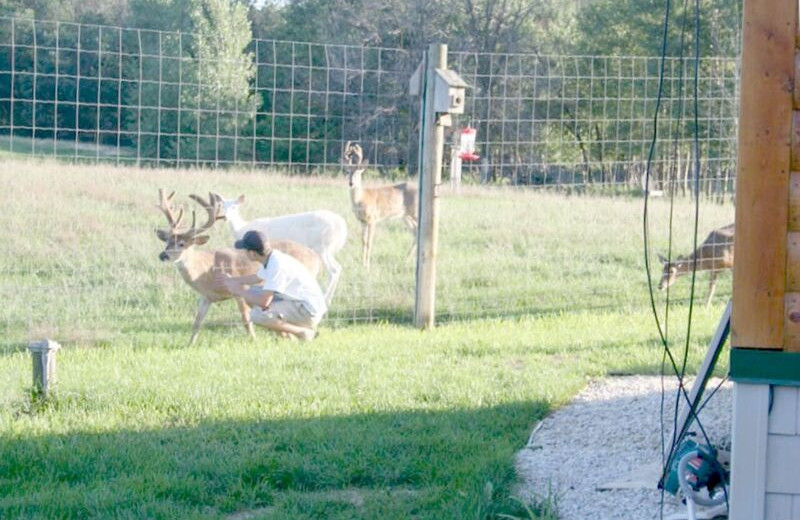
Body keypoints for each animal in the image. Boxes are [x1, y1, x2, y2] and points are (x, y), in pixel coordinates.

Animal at [155, 190, 320, 346]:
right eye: (167, 241)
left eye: (181, 244)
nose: (162, 255)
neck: (207, 271)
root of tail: (316, 257)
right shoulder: (206, 297)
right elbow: (197, 322)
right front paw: (189, 345)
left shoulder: (239, 291)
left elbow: (246, 319)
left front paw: (254, 341)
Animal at [211, 192, 346, 304]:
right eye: (223, 206)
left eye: (234, 207)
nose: (225, 217)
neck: (241, 229)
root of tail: (342, 227)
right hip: (326, 249)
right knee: (338, 267)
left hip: (322, 246)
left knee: (334, 270)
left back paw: (325, 299)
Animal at [342, 140, 418, 270]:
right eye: (348, 171)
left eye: (358, 172)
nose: (351, 183)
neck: (362, 199)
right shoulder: (362, 221)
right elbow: (363, 242)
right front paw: (362, 264)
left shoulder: (372, 219)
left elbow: (369, 242)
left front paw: (367, 266)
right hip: (406, 216)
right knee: (415, 233)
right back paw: (406, 261)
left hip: (415, 213)